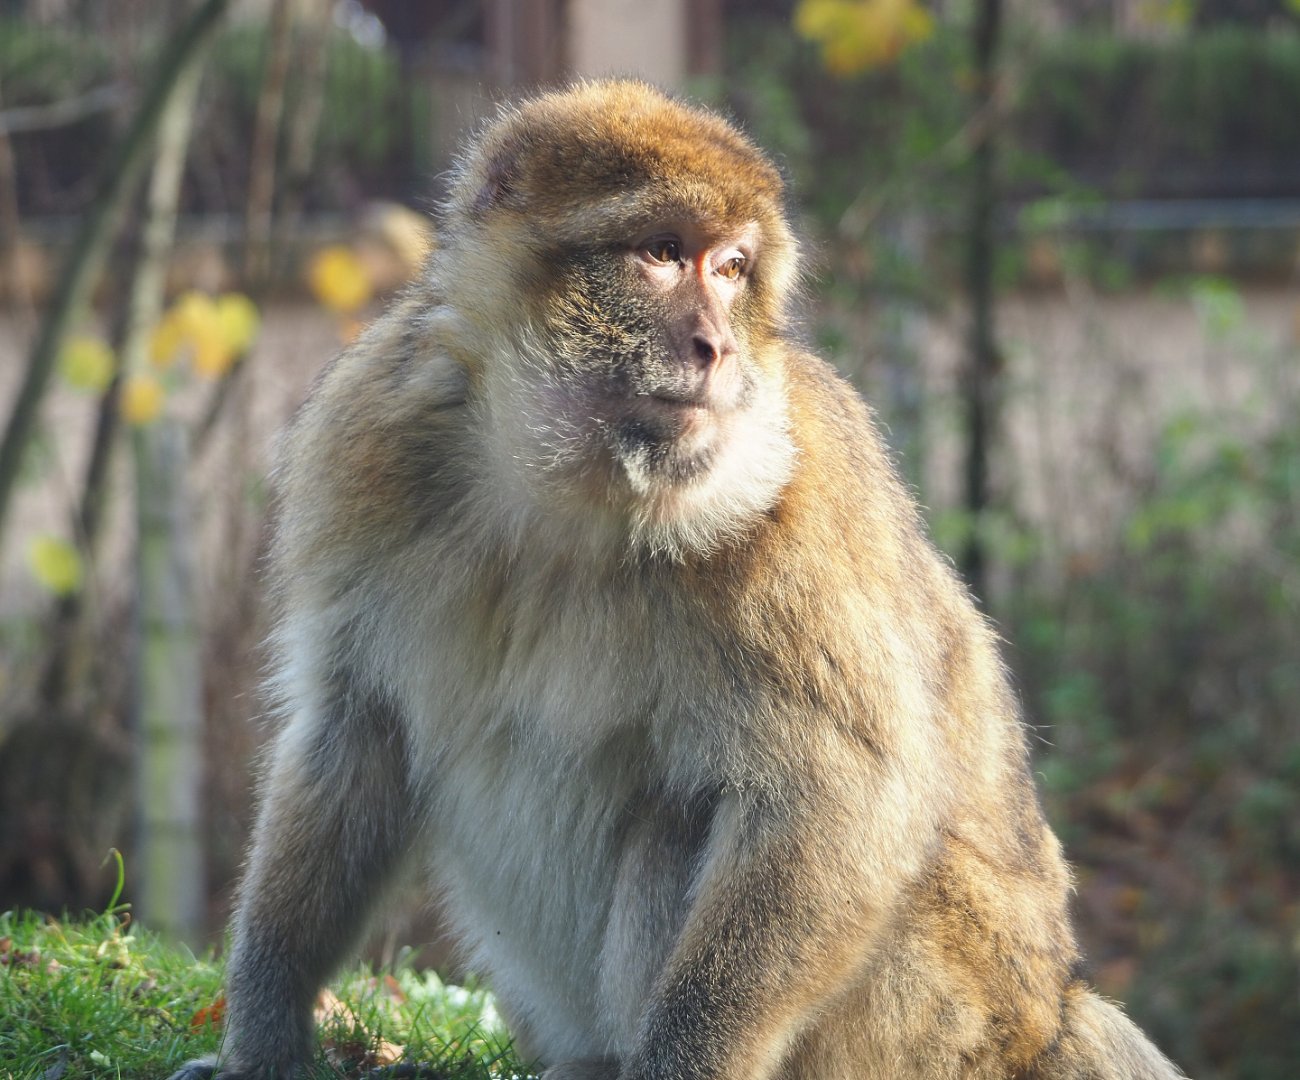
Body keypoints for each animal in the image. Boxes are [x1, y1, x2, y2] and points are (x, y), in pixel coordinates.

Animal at [168, 81, 1184, 1080]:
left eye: (730, 268)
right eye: (662, 255)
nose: (716, 347)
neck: (564, 488)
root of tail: (1046, 1014)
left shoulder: (796, 507)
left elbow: (834, 797)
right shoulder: (368, 436)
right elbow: (355, 730)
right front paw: (260, 1038)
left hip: (932, 1008)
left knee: (688, 816)